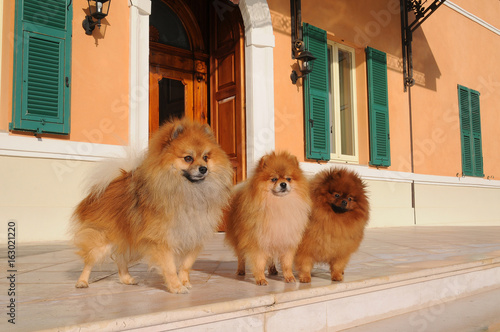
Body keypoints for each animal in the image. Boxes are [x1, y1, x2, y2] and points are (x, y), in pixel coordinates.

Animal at [71, 118, 233, 294]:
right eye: (188, 158)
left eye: (205, 157)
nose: (203, 168)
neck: (187, 191)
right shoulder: (162, 240)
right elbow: (170, 267)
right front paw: (177, 287)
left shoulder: (193, 236)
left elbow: (185, 265)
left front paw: (185, 282)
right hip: (103, 239)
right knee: (90, 260)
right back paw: (82, 282)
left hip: (131, 241)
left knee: (121, 258)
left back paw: (126, 279)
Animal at [225, 152, 310, 284]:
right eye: (274, 179)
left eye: (288, 179)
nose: (283, 184)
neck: (279, 204)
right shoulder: (257, 240)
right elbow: (259, 262)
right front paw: (260, 279)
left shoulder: (286, 239)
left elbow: (287, 263)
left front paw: (289, 277)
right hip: (239, 238)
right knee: (241, 256)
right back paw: (241, 270)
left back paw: (273, 270)